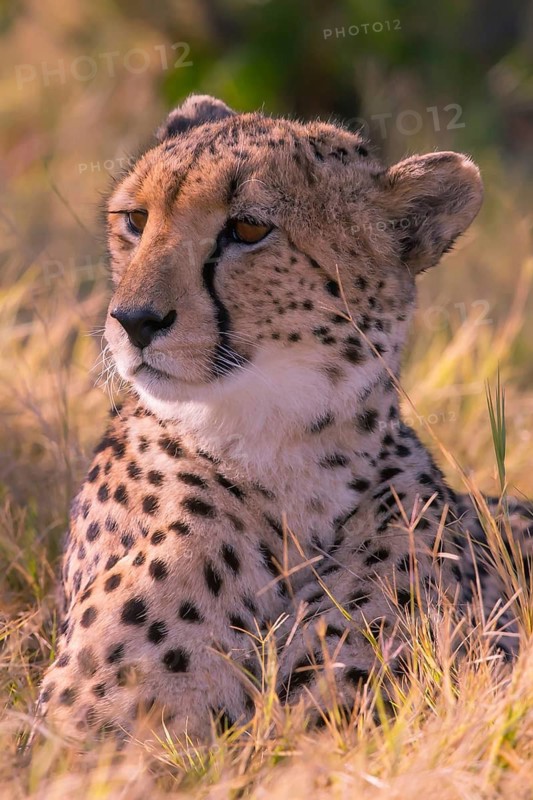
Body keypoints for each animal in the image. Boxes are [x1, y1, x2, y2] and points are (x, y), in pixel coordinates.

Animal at [34, 94, 533, 746]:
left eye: (248, 229)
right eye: (136, 220)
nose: (134, 320)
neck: (284, 450)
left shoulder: (343, 719)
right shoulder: (82, 736)